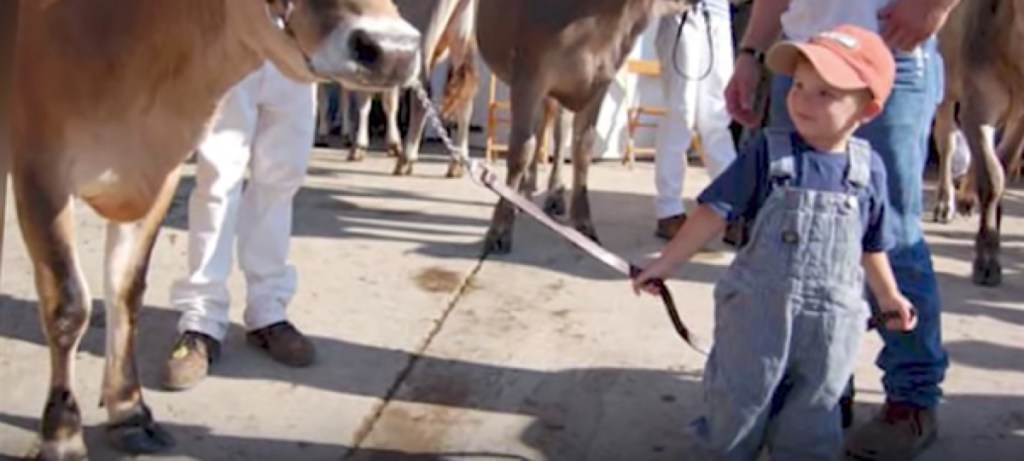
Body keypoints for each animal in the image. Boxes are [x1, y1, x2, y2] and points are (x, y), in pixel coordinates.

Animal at [9, 1, 417, 458]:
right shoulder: (39, 168)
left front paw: (129, 412)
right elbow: (68, 306)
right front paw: (61, 435)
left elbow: (126, 293)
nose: (394, 52)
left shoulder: (160, 176)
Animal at [929, 0, 1024, 286]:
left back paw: (967, 199)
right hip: (947, 88)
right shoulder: (976, 108)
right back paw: (945, 202)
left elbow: (1003, 165)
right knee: (947, 141)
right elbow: (992, 178)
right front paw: (987, 261)